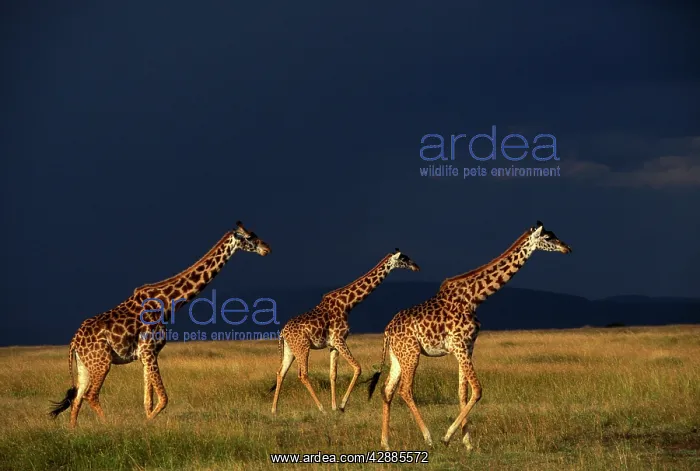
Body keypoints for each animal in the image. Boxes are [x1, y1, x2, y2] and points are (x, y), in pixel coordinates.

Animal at [49, 221, 270, 427]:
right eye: (249, 237)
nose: (267, 248)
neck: (166, 305)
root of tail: (73, 342)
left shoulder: (147, 355)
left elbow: (148, 401)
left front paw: (147, 423)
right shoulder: (148, 350)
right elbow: (163, 399)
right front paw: (146, 424)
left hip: (85, 364)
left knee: (77, 399)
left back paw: (73, 431)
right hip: (101, 362)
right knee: (90, 395)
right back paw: (107, 426)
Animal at [270, 249, 420, 415]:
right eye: (404, 259)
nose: (416, 267)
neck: (348, 304)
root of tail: (283, 332)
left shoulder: (333, 345)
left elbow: (333, 374)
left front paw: (334, 406)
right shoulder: (339, 339)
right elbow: (357, 367)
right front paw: (342, 405)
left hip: (290, 349)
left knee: (280, 372)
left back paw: (274, 409)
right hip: (302, 347)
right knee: (302, 374)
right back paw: (321, 408)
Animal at [367, 221, 572, 451]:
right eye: (547, 237)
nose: (567, 248)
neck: (475, 297)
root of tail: (387, 330)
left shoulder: (468, 346)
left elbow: (462, 392)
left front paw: (467, 442)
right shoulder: (459, 345)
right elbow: (478, 389)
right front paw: (447, 437)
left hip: (398, 355)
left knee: (387, 390)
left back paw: (385, 443)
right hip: (411, 353)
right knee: (405, 390)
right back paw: (428, 437)